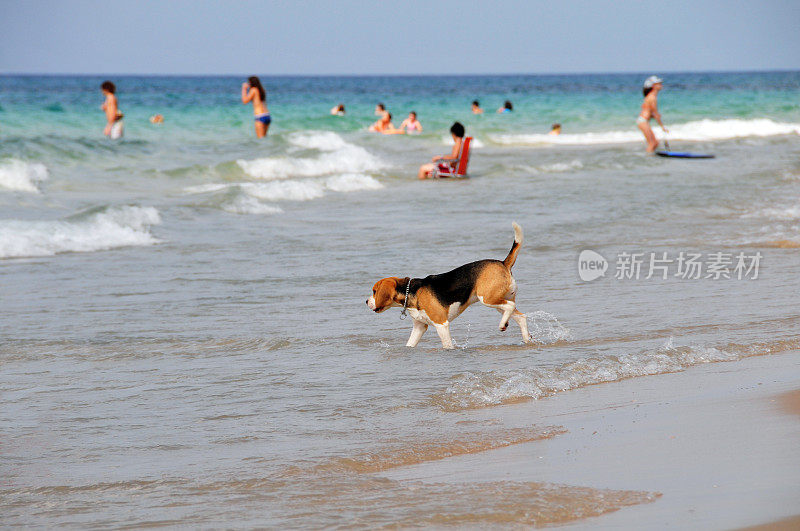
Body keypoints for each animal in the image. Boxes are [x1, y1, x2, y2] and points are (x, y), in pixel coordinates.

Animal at [368, 223, 532, 350]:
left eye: (374, 291)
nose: (366, 301)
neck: (411, 292)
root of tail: (503, 263)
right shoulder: (419, 327)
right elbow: (410, 344)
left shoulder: (441, 324)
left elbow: (447, 345)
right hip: (498, 302)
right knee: (520, 316)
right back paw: (526, 338)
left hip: (488, 299)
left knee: (510, 306)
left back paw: (502, 325)